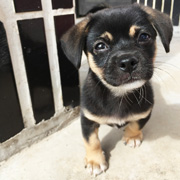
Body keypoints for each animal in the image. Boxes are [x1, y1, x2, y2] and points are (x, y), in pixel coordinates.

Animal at [60, 3, 173, 176]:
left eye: (144, 36)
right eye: (100, 46)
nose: (127, 62)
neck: (119, 94)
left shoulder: (145, 112)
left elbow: (136, 124)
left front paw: (132, 137)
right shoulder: (87, 120)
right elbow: (91, 141)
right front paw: (95, 161)